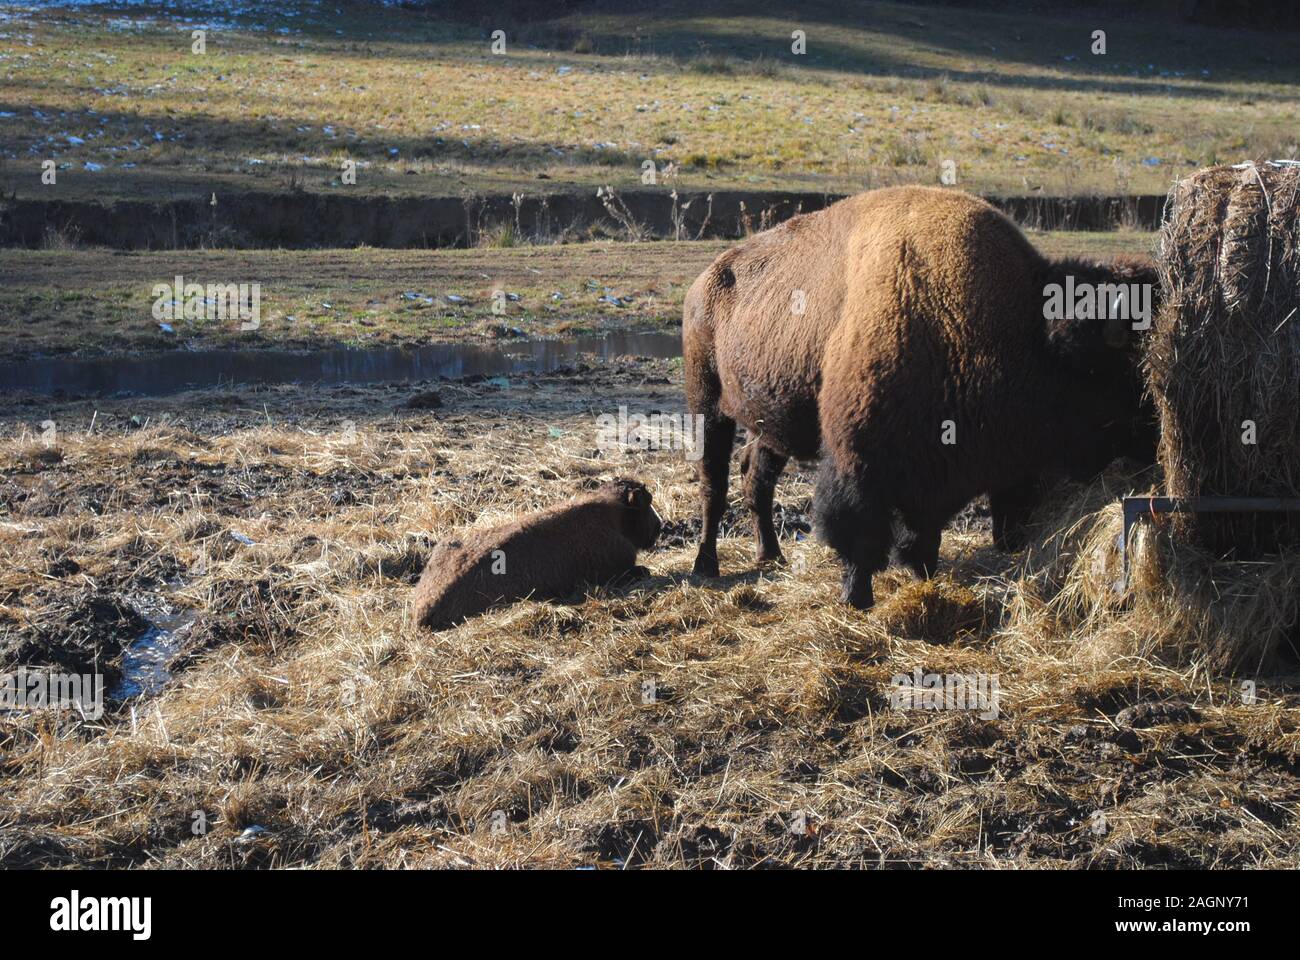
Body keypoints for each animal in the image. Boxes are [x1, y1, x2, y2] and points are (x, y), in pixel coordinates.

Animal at [686, 183, 1154, 598]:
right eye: (1122, 371)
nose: (1151, 445)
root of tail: (705, 279)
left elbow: (922, 533)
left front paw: (922, 575)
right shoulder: (857, 456)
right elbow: (858, 530)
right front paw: (857, 596)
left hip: (771, 421)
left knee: (756, 477)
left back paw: (771, 555)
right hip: (706, 404)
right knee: (714, 483)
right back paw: (706, 565)